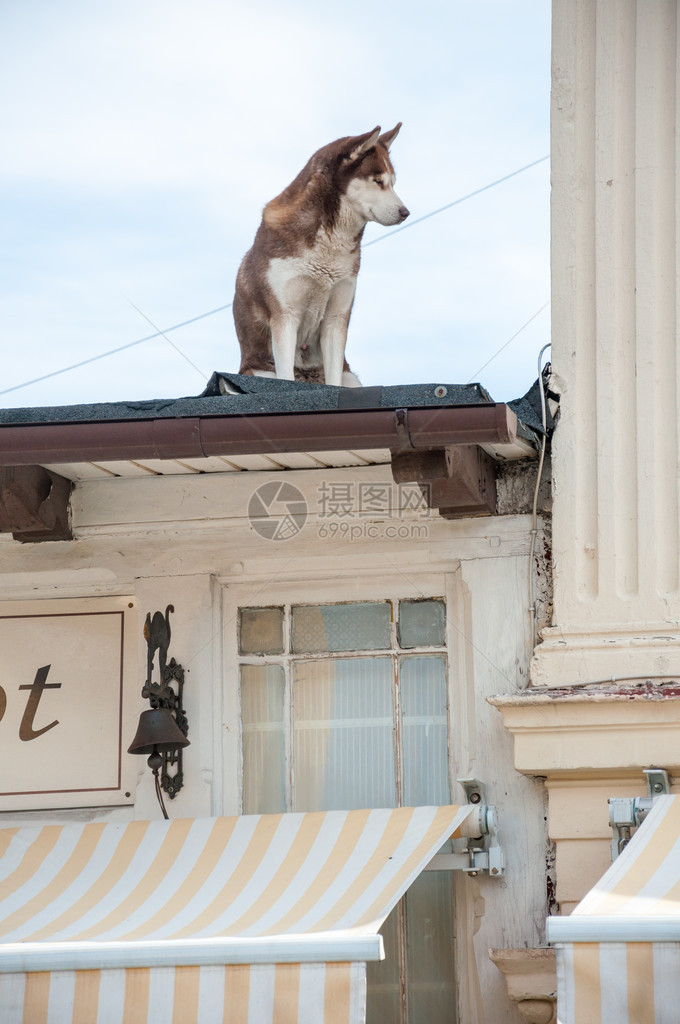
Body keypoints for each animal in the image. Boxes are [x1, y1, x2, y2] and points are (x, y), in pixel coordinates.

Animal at [232, 123, 409, 385]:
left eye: (393, 183)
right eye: (378, 181)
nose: (405, 212)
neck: (330, 244)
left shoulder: (336, 318)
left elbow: (333, 380)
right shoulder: (285, 317)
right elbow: (287, 376)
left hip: (351, 378)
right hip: (260, 371)